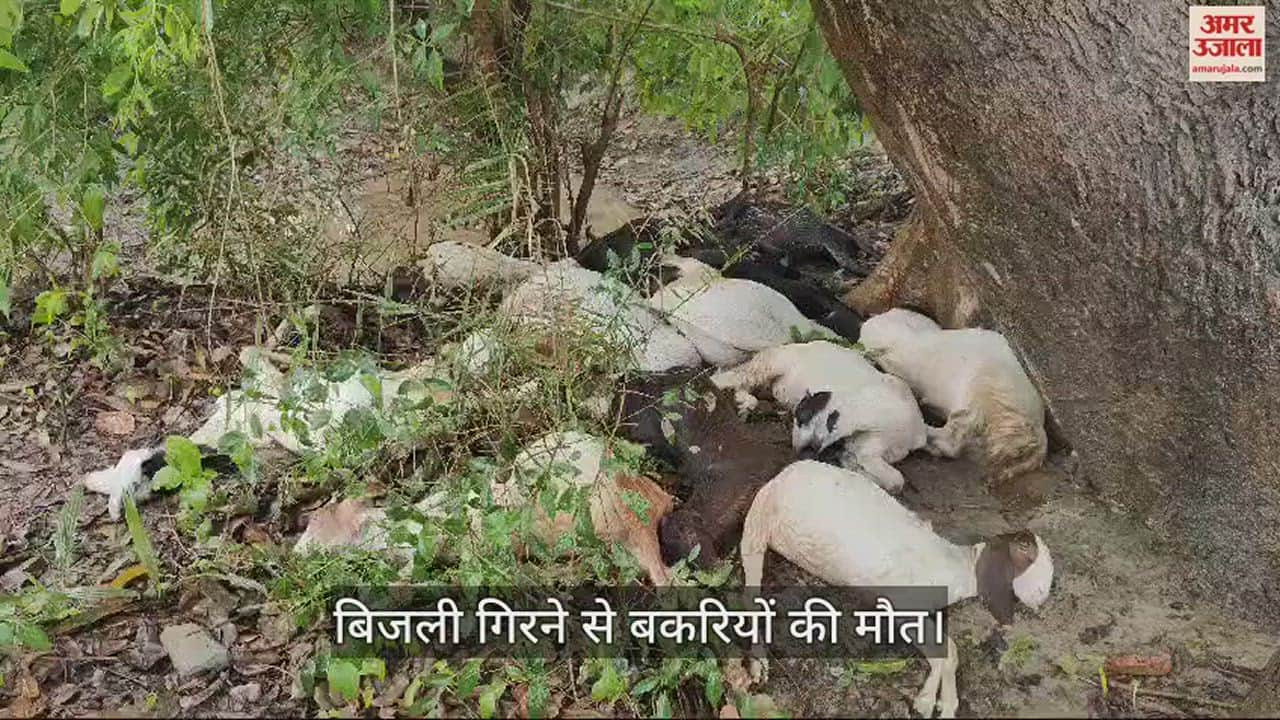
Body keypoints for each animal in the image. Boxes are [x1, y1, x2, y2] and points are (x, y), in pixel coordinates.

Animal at [709, 341, 927, 493]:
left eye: (832, 422)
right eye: (801, 417)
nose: (807, 450)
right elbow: (896, 480)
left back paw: (745, 401)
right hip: (771, 364)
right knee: (735, 376)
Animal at [740, 460, 1054, 718]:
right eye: (1030, 559)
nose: (1042, 600)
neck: (959, 566)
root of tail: (780, 477)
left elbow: (949, 651)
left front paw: (943, 704)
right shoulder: (902, 607)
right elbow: (946, 650)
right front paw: (928, 702)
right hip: (756, 526)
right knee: (751, 594)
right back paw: (759, 665)